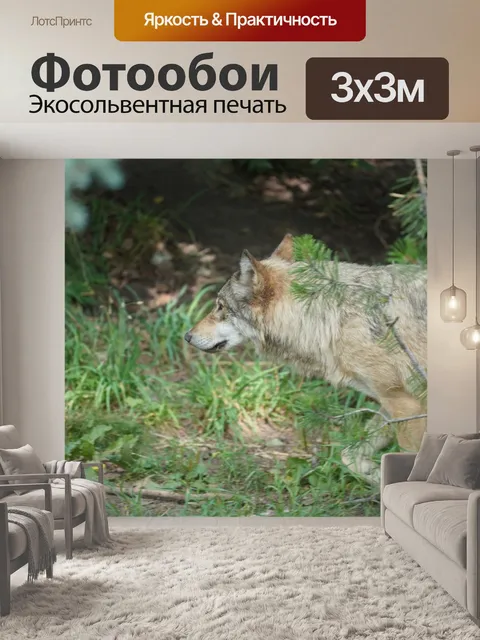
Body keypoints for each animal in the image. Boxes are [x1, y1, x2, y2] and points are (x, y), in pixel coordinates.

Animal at [184, 234, 427, 483]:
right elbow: (349, 455)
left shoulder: (405, 404)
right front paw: (377, 477)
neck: (333, 316)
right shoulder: (393, 405)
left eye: (220, 306)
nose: (187, 336)